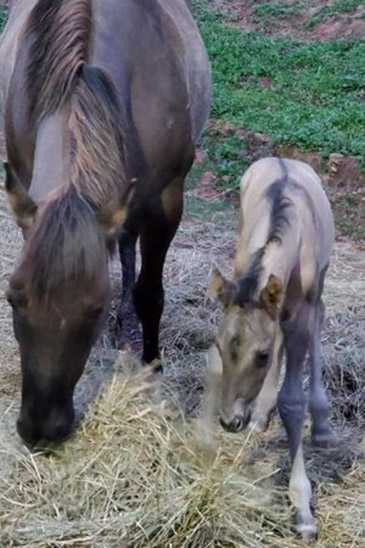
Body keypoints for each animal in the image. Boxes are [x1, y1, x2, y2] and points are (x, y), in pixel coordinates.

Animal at [0, 0, 210, 446]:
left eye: (95, 307)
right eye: (12, 297)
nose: (40, 430)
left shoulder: (168, 202)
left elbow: (150, 293)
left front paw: (151, 368)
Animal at [208, 157, 332, 540]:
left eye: (259, 357)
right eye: (219, 347)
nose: (230, 420)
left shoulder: (301, 312)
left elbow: (292, 401)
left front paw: (303, 509)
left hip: (319, 286)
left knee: (320, 317)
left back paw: (322, 425)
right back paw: (261, 413)